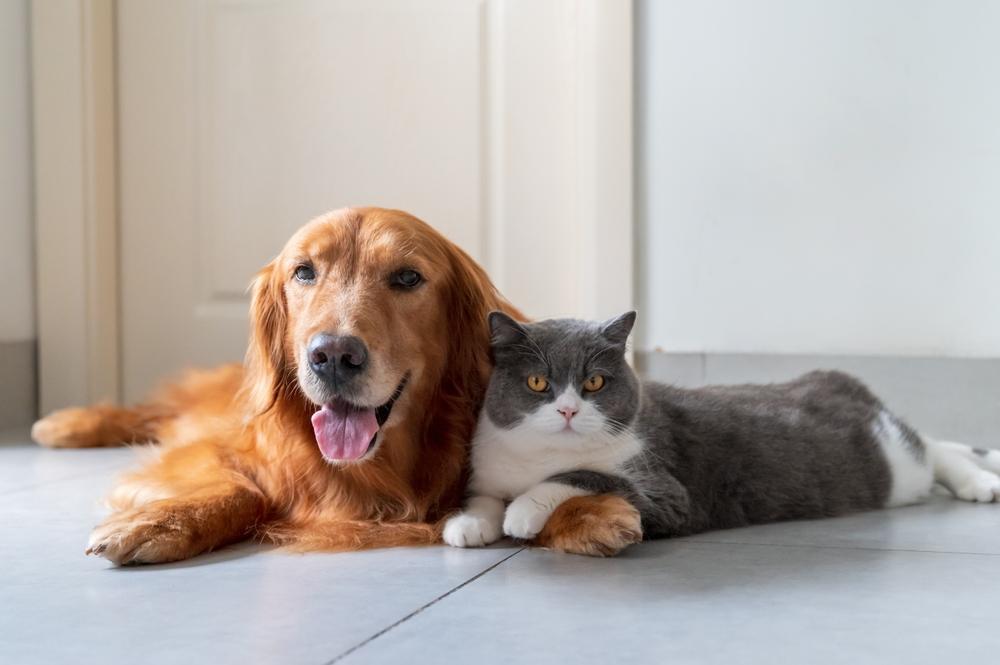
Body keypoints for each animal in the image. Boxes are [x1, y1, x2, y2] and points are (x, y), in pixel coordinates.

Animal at [446, 312, 1000, 548]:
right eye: (538, 382)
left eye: (594, 381)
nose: (567, 411)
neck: (539, 455)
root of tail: (842, 382)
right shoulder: (489, 468)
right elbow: (484, 497)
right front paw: (469, 524)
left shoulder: (668, 491)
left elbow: (583, 475)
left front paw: (523, 511)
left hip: (894, 462)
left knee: (927, 445)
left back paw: (980, 481)